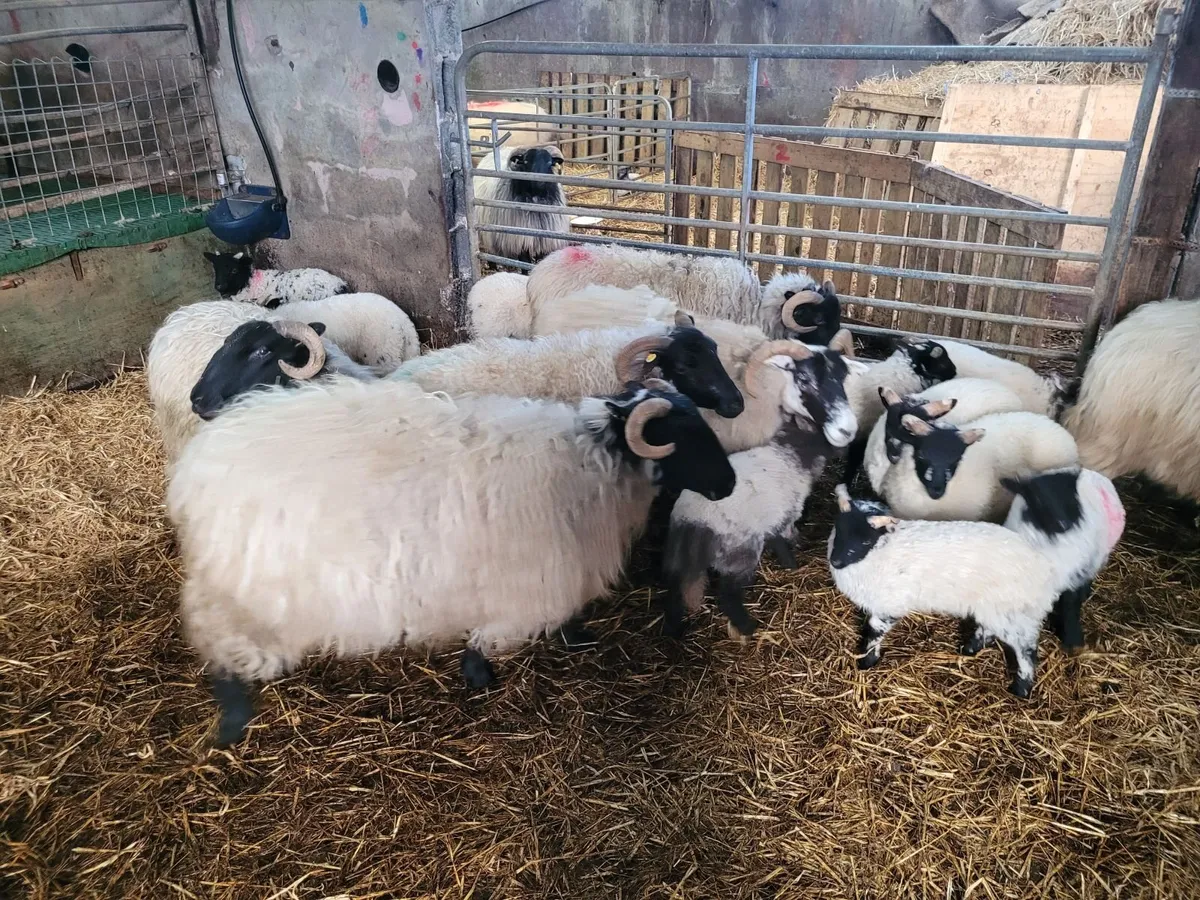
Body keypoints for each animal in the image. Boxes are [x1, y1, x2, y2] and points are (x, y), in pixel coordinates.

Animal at [166, 378, 736, 746]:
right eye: (679, 434)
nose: (729, 483)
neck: (591, 466)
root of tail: (194, 471)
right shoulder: (529, 580)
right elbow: (497, 638)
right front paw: (484, 674)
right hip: (249, 588)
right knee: (219, 639)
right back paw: (232, 722)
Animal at [662, 344, 858, 637]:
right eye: (804, 380)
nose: (847, 437)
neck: (794, 449)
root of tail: (693, 524)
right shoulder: (787, 512)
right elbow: (787, 538)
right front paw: (794, 561)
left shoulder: (772, 519)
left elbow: (776, 540)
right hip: (739, 554)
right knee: (728, 594)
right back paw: (748, 627)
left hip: (675, 555)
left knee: (672, 589)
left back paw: (676, 631)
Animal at [828, 485, 1060, 698]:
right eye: (839, 528)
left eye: (866, 539)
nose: (835, 561)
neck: (879, 553)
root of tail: (1045, 571)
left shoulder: (889, 605)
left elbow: (874, 632)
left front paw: (867, 661)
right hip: (994, 607)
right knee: (990, 629)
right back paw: (969, 649)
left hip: (1015, 610)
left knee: (1026, 648)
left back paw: (1022, 688)